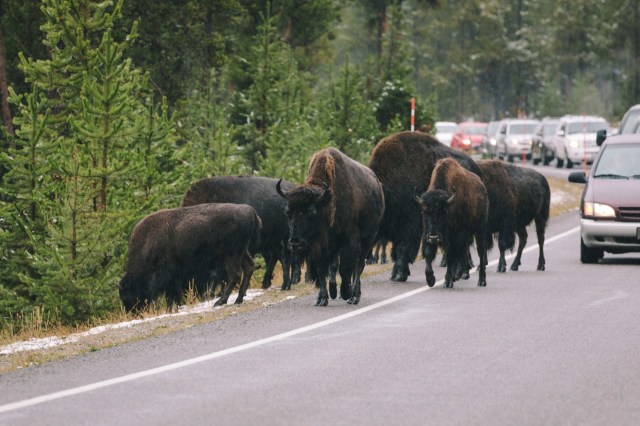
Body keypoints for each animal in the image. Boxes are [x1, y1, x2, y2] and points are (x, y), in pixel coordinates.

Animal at [119, 203, 262, 312]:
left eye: (126, 295)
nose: (133, 313)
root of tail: (250, 211)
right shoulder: (174, 276)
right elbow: (173, 293)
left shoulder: (166, 275)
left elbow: (169, 294)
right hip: (242, 252)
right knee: (249, 267)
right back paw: (238, 299)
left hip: (231, 254)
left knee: (235, 275)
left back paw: (221, 302)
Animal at [276, 147, 384, 306]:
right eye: (287, 212)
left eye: (311, 211)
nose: (295, 242)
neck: (326, 203)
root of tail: (377, 184)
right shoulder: (320, 245)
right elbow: (322, 270)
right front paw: (321, 299)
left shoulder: (349, 239)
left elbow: (345, 268)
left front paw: (346, 293)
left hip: (368, 238)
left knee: (358, 265)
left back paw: (354, 295)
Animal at [368, 130, 482, 282]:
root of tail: (476, 168)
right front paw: (395, 274)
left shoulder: (410, 227)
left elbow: (403, 250)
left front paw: (398, 275)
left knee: (463, 246)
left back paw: (462, 272)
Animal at [416, 158, 490, 288]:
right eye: (424, 212)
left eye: (443, 213)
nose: (434, 237)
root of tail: (483, 188)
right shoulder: (427, 234)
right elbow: (429, 254)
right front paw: (430, 279)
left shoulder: (455, 236)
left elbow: (451, 257)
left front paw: (447, 281)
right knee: (462, 252)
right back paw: (458, 275)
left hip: (480, 230)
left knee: (481, 252)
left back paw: (481, 281)